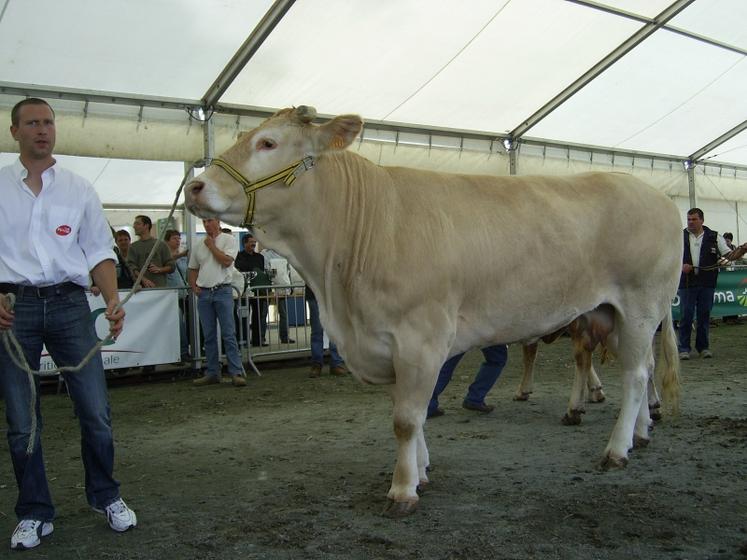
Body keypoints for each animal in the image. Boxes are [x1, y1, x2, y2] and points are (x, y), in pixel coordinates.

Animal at [184, 106, 681, 517]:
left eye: (268, 143)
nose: (194, 185)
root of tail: (659, 197)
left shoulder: (419, 337)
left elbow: (406, 419)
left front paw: (402, 490)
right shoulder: (387, 343)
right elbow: (413, 413)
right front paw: (422, 473)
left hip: (641, 305)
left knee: (635, 375)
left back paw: (616, 449)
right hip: (612, 314)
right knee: (641, 368)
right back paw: (640, 434)